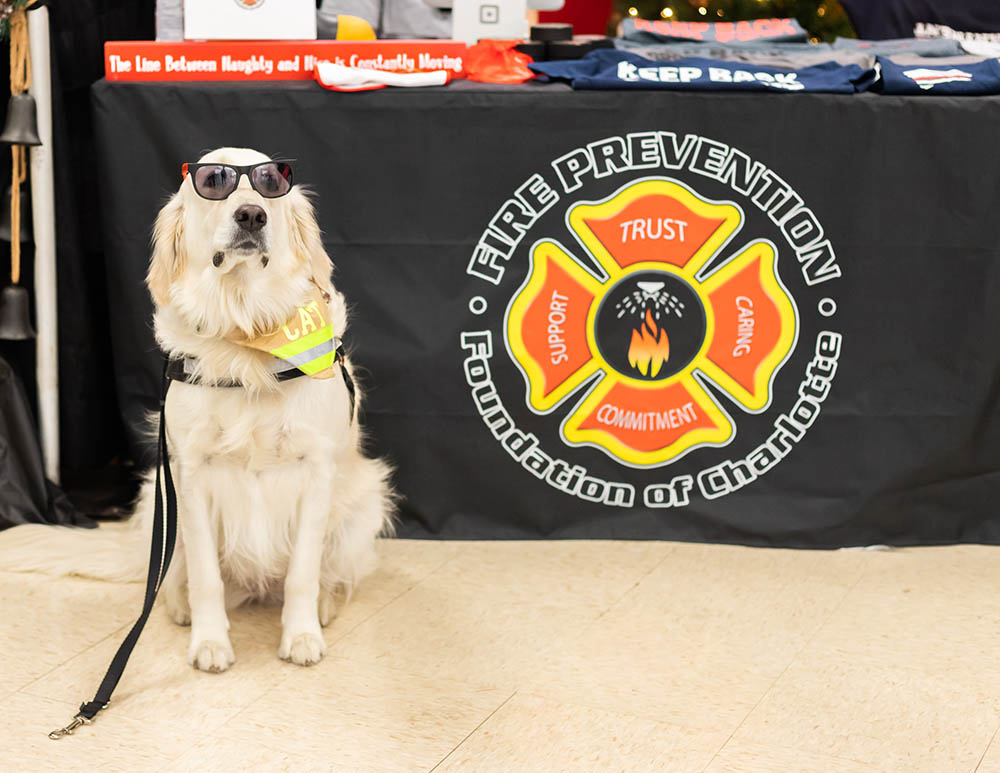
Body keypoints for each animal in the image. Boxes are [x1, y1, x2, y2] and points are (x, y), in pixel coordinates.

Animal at [0, 146, 394, 668]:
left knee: (331, 571)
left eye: (271, 183)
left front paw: (301, 635)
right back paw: (179, 607)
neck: (245, 327)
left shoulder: (316, 469)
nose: (251, 215)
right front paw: (210, 642)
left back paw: (326, 605)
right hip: (156, 495)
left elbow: (303, 572)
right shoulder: (190, 473)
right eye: (214, 182)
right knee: (173, 576)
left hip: (363, 503)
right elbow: (206, 574)